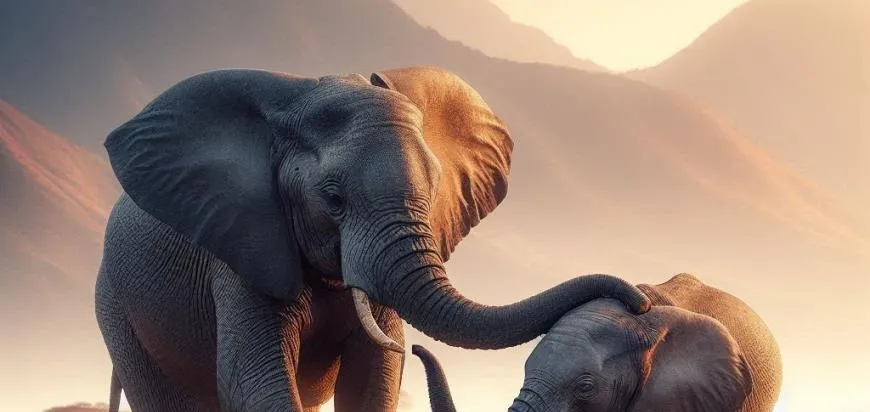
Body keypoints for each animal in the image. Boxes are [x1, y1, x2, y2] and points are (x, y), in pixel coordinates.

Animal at [94, 66, 652, 411]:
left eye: (433, 189)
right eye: (333, 198)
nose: (640, 302)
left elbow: (375, 374)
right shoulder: (241, 245)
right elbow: (251, 378)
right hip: (117, 310)